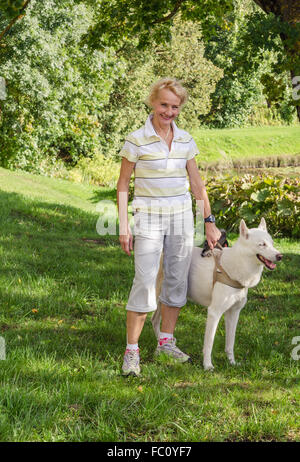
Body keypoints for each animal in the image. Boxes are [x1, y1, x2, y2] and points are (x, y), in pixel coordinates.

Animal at [152, 217, 284, 372]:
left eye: (272, 243)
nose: (280, 256)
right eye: (262, 244)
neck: (236, 266)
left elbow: (230, 343)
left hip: (163, 300)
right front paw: (207, 365)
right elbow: (209, 344)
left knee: (155, 320)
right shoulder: (214, 312)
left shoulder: (234, 313)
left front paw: (232, 362)